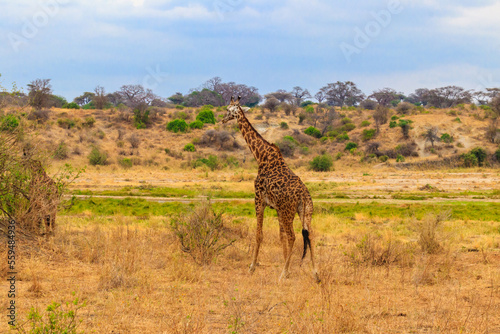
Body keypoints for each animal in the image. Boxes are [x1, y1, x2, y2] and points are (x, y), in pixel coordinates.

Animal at [223, 96, 320, 282]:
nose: (223, 119)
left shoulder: (259, 199)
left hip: (289, 211)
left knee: (294, 236)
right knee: (309, 235)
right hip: (305, 211)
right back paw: (315, 273)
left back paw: (282, 275)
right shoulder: (277, 208)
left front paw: (252, 268)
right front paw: (287, 269)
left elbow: (259, 234)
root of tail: (303, 194)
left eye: (229, 110)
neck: (260, 156)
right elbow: (281, 237)